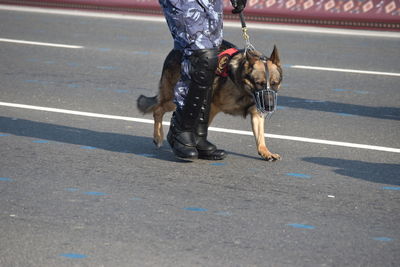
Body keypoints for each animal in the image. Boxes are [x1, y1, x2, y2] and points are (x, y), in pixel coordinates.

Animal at [139, 40, 282, 161]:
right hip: (175, 98)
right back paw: (158, 137)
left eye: (274, 84)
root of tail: (176, 50)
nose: (269, 107)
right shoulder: (212, 106)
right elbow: (201, 126)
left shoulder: (257, 114)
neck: (244, 88)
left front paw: (265, 152)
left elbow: (260, 136)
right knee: (158, 110)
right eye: (259, 83)